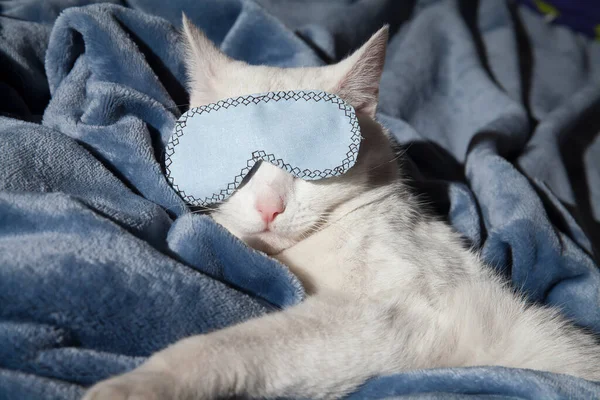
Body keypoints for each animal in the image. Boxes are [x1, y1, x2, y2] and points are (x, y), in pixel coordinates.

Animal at [83, 15, 600, 400]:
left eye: (313, 160)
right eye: (233, 155)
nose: (270, 207)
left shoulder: (388, 314)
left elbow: (232, 346)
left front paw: (136, 384)